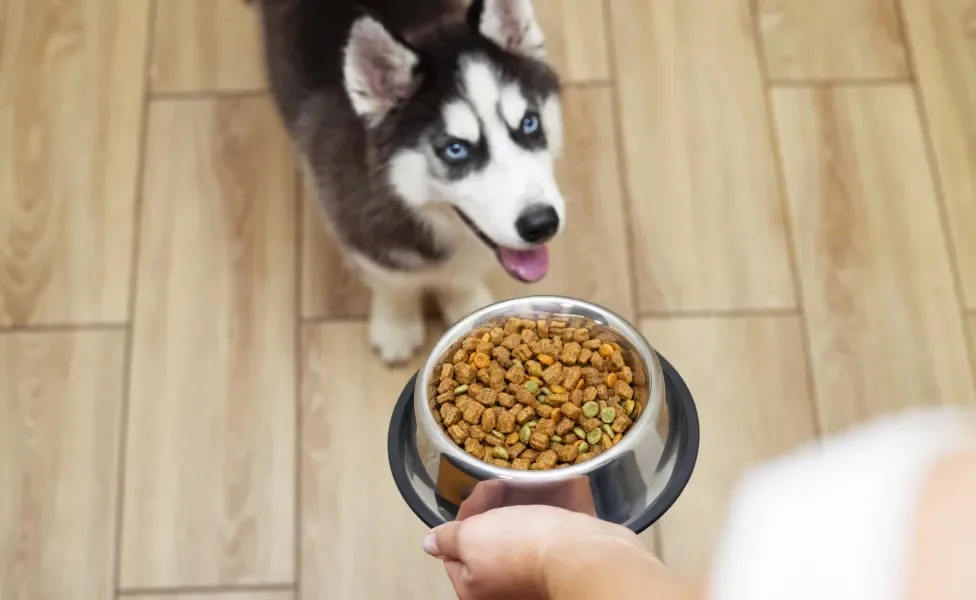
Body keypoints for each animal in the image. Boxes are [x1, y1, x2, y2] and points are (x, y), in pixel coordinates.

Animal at [254, 0, 564, 364]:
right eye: (455, 149)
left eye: (530, 123)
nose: (541, 224)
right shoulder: (361, 231)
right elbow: (394, 284)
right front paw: (397, 325)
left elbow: (460, 278)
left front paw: (467, 306)